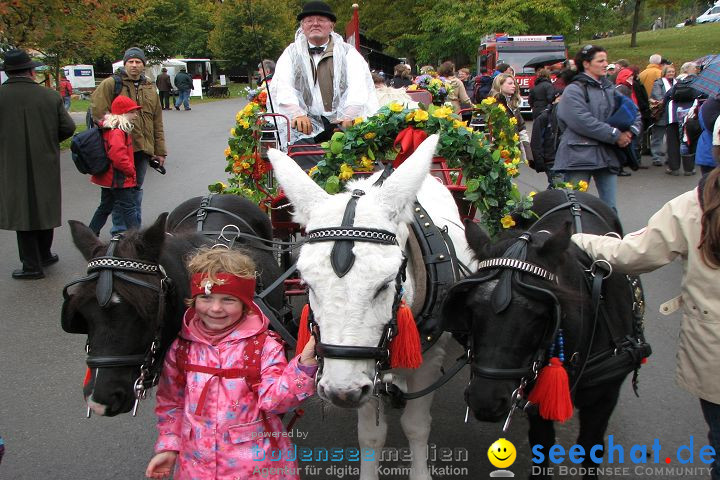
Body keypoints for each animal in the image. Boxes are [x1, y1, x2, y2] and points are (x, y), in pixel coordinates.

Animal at [268, 136, 476, 480]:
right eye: (307, 284)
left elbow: (416, 425)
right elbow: (371, 435)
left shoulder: (428, 359)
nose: (341, 392)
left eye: (385, 284)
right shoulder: (363, 366)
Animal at [442, 189, 648, 478]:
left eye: (539, 314)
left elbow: (590, 447)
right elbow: (542, 442)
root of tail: (568, 190)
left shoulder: (606, 396)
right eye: (470, 307)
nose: (485, 400)